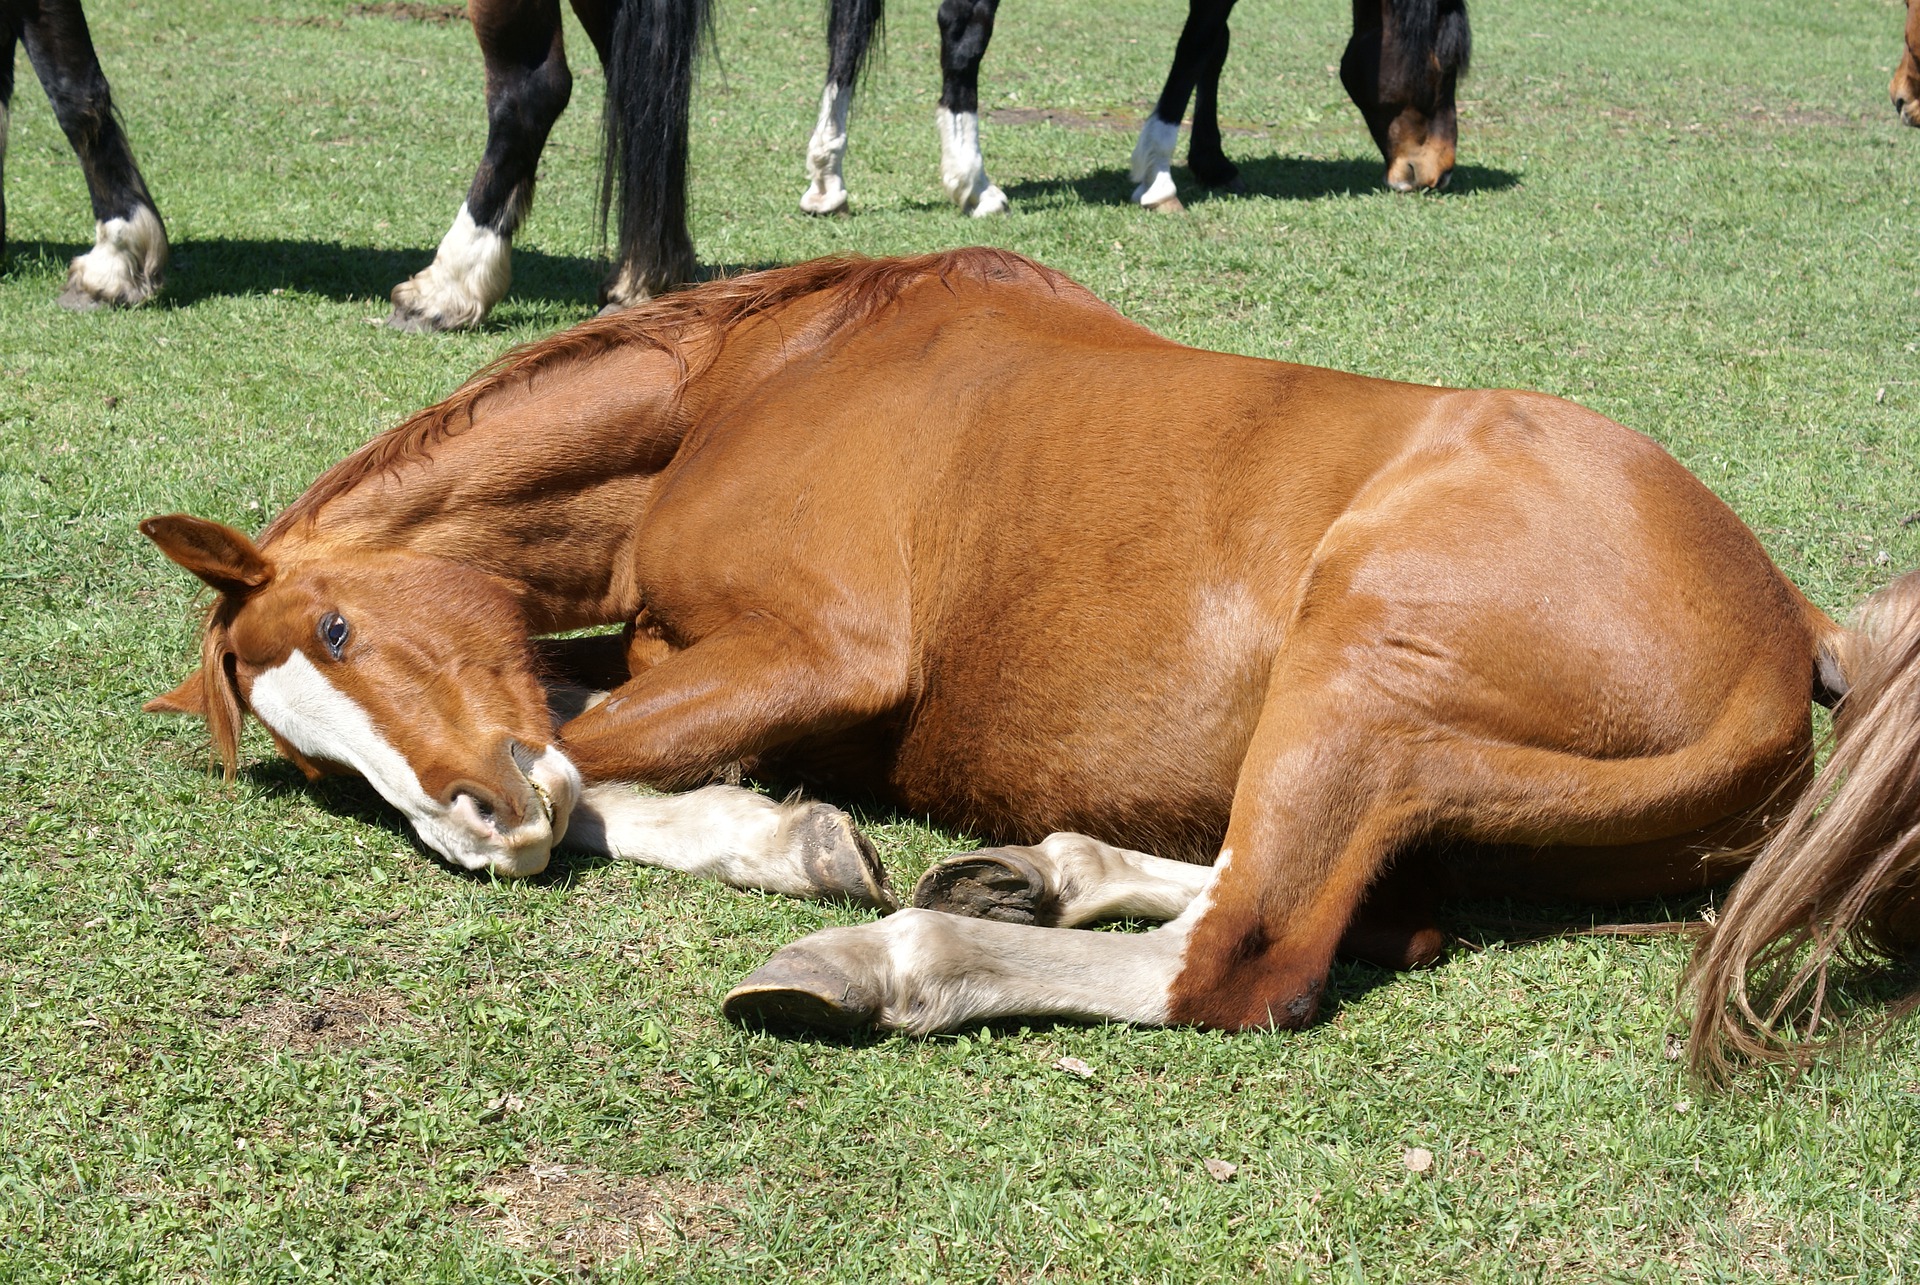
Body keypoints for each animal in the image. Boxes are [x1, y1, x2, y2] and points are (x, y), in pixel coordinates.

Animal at [139, 249, 1920, 1075]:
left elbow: (594, 761)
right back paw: (1038, 874)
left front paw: (789, 849)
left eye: (345, 628)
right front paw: (784, 834)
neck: (759, 377)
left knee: (1243, 959)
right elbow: (585, 728)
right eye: (309, 752)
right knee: (1305, 899)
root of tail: (1792, 626)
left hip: (1359, 665)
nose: (471, 830)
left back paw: (895, 959)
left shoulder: (823, 656)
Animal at [802, 0, 1474, 218]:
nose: (1435, 171)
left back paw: (827, 178)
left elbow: (1214, 46)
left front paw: (1212, 160)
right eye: (1446, 64)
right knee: (963, 29)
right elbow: (1199, 43)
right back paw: (975, 184)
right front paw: (1157, 176)